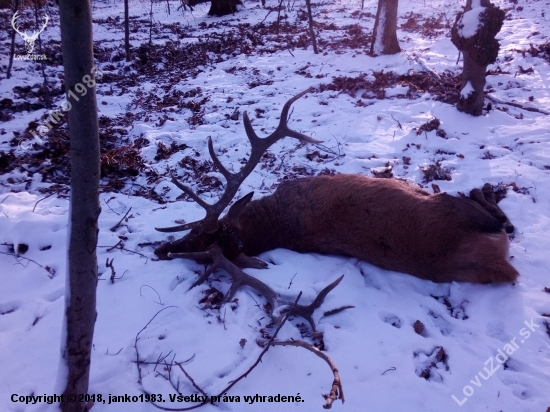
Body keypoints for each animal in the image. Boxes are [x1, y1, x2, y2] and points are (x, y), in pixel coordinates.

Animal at [154, 90, 516, 328]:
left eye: (196, 234)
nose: (162, 250)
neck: (274, 219)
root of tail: (497, 264)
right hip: (459, 208)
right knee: (497, 217)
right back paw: (486, 191)